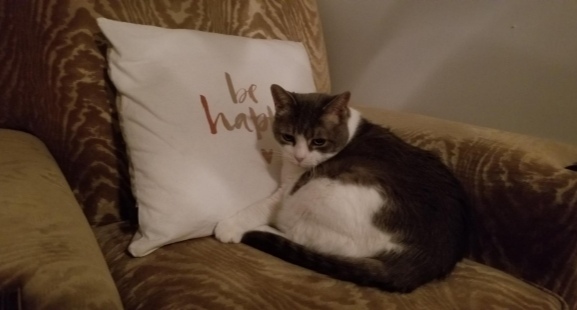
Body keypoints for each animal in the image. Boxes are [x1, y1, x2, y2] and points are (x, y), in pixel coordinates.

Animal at [214, 83, 470, 292]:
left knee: (306, 237)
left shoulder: (289, 190)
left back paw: (258, 230)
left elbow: (262, 206)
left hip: (319, 192)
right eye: (288, 137)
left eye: (318, 141)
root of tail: (425, 258)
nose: (299, 157)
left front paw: (230, 226)